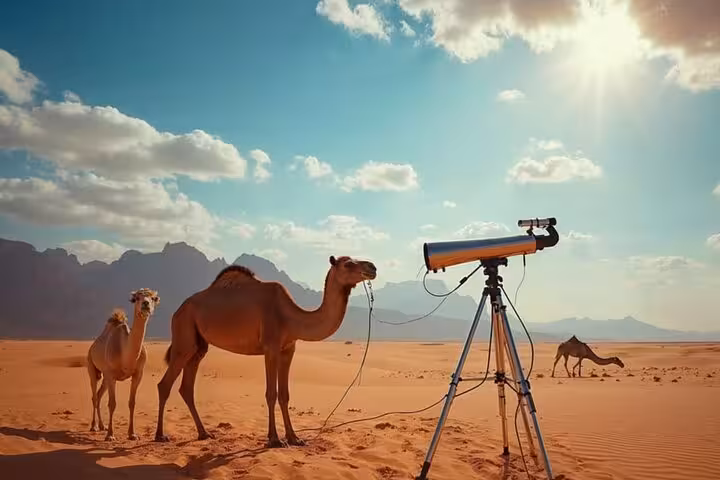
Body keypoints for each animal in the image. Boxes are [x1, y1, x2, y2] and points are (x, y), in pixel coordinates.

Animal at [87, 288, 160, 441]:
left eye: (153, 298)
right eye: (136, 298)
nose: (145, 304)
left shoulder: (138, 374)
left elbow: (132, 403)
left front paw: (132, 434)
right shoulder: (111, 374)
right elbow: (112, 404)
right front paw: (110, 435)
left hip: (105, 376)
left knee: (99, 394)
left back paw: (102, 426)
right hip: (91, 365)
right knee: (94, 395)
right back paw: (94, 426)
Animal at [153, 255, 377, 448]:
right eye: (348, 264)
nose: (372, 267)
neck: (291, 317)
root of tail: (178, 310)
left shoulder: (288, 349)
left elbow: (285, 394)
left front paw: (294, 438)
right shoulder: (271, 347)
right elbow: (271, 393)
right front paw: (275, 439)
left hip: (199, 346)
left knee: (187, 387)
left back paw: (204, 433)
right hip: (183, 334)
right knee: (164, 384)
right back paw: (160, 435)